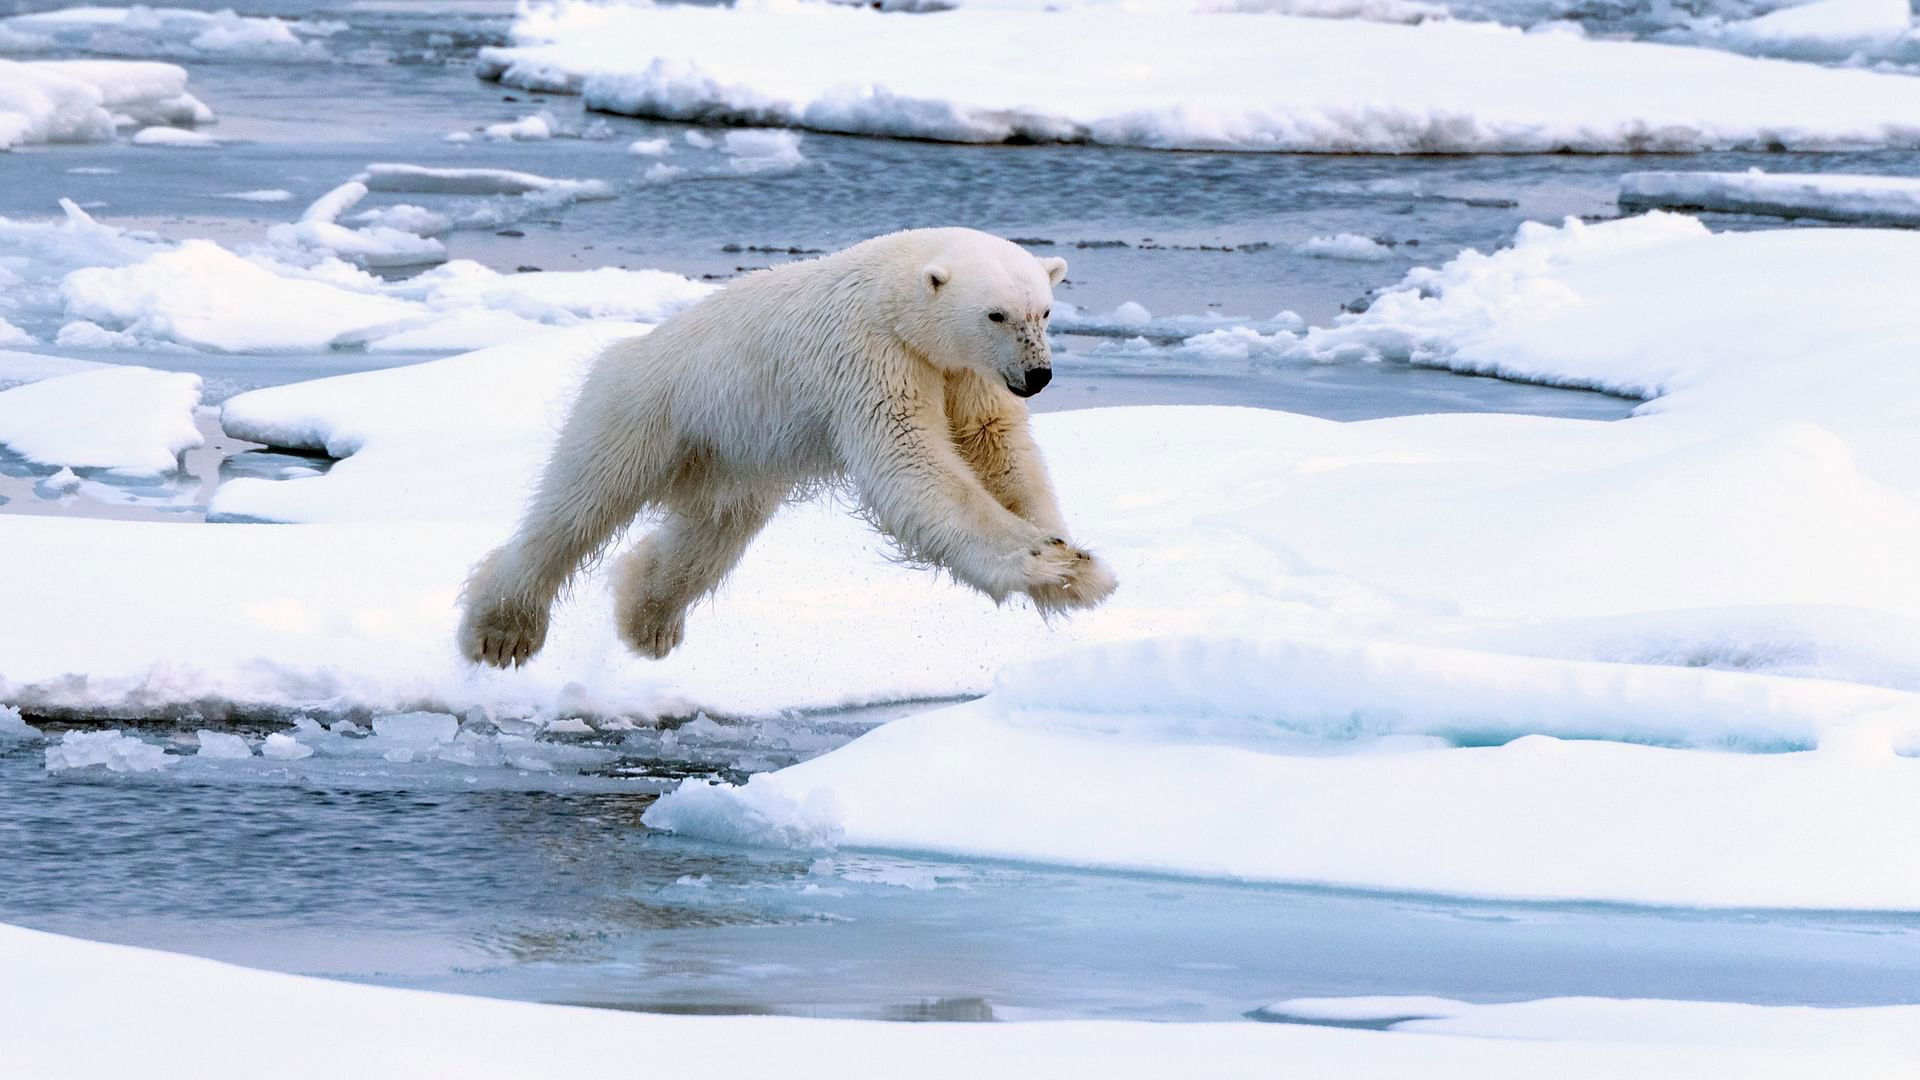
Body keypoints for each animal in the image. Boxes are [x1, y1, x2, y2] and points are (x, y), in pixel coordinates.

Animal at [457, 226, 1118, 669]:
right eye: (995, 314)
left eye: (1045, 311)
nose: (1038, 376)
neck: (894, 294)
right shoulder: (873, 357)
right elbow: (913, 462)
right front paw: (1043, 561)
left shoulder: (967, 375)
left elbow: (999, 450)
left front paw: (1077, 564)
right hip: (644, 411)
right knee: (579, 507)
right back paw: (501, 632)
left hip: (734, 455)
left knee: (710, 534)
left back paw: (648, 622)